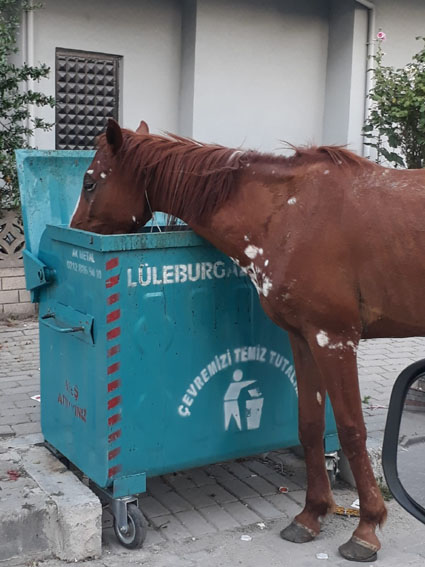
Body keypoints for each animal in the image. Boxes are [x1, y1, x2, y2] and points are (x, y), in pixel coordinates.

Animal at [69, 120, 424, 564]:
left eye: (89, 182)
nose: (74, 235)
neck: (290, 212)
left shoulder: (333, 340)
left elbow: (351, 430)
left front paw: (367, 527)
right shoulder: (303, 339)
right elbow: (309, 426)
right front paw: (311, 514)